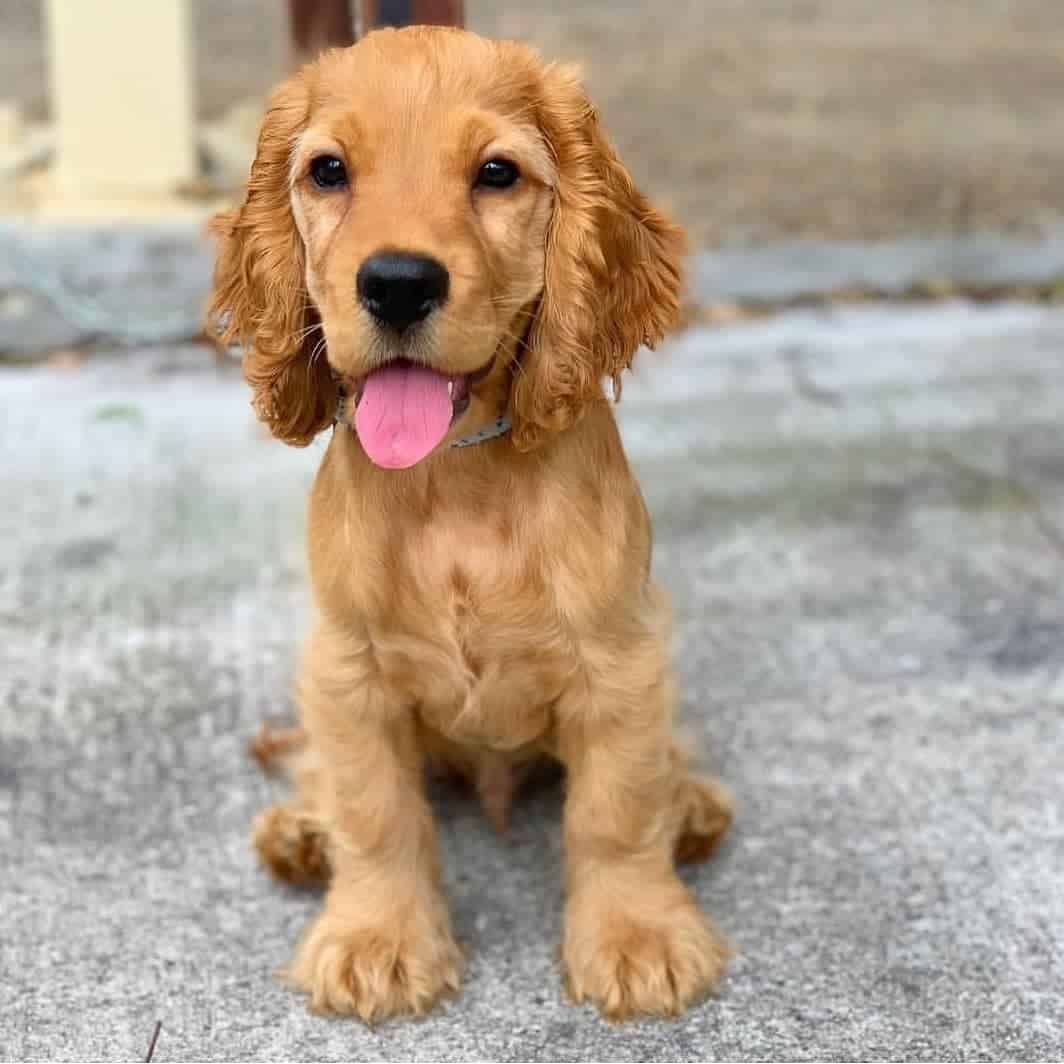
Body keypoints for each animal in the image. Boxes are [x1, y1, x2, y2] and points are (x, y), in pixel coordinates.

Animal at [207, 25, 732, 1021]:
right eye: (328, 170)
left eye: (496, 173)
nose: (397, 283)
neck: (455, 477)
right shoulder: (348, 670)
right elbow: (374, 809)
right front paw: (376, 939)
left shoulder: (621, 660)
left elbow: (616, 809)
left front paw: (637, 937)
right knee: (322, 775)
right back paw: (300, 831)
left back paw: (692, 806)